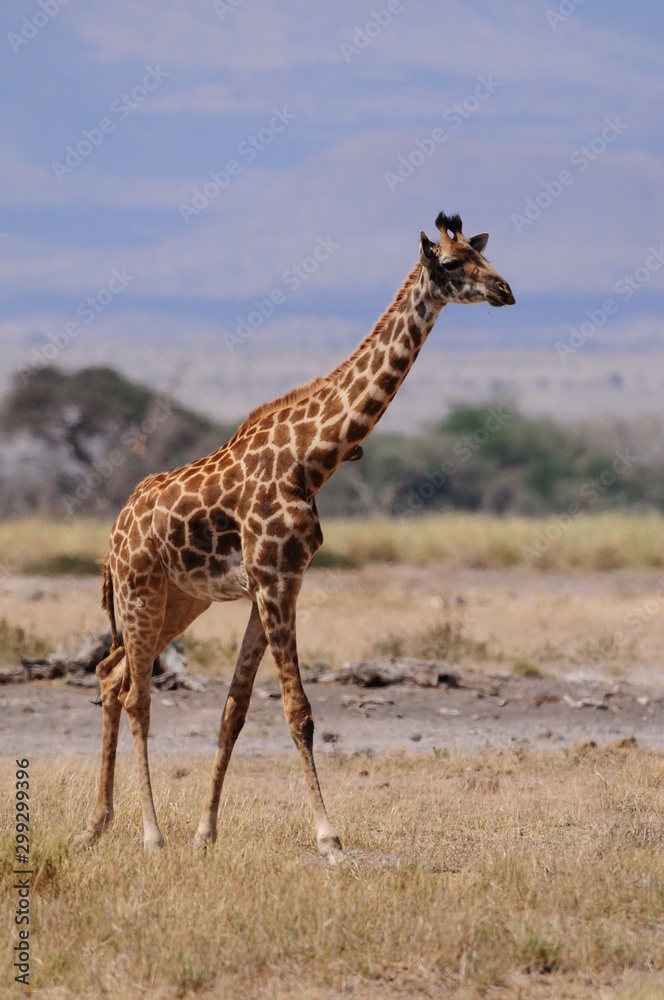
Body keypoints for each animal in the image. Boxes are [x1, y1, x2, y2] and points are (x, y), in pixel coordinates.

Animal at [75, 211, 514, 862]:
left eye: (484, 256)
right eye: (456, 264)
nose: (506, 291)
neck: (312, 458)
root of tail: (113, 536)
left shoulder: (277, 583)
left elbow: (235, 708)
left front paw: (207, 833)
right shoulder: (275, 581)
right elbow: (298, 711)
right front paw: (329, 839)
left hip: (182, 599)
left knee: (111, 674)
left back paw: (96, 824)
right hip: (139, 592)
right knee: (136, 695)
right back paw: (150, 834)